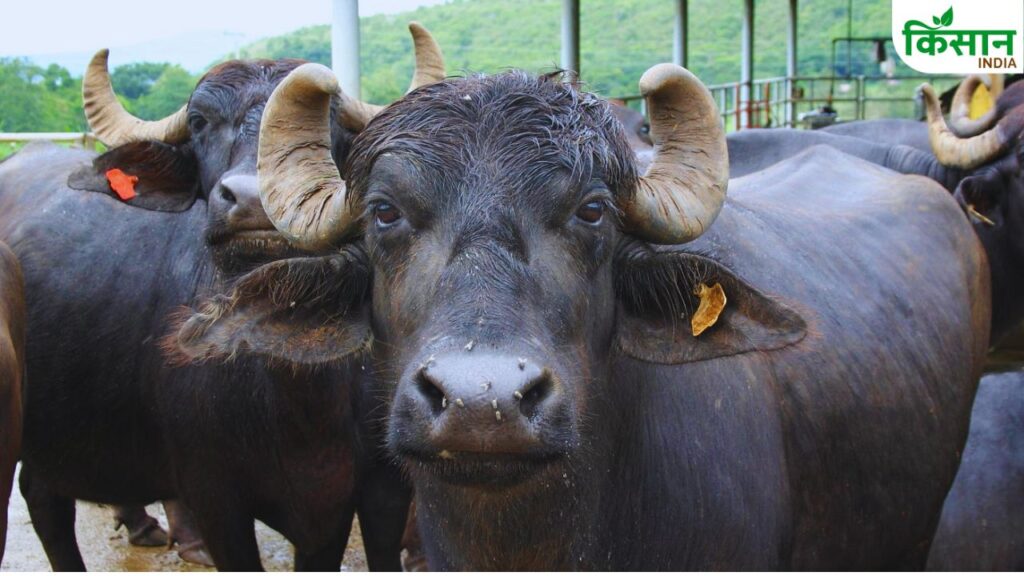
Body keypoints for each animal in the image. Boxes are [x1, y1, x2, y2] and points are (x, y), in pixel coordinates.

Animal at [0, 24, 444, 570]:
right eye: (199, 122)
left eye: (329, 123)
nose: (252, 201)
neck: (296, 394)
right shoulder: (214, 497)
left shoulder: (368, 495)